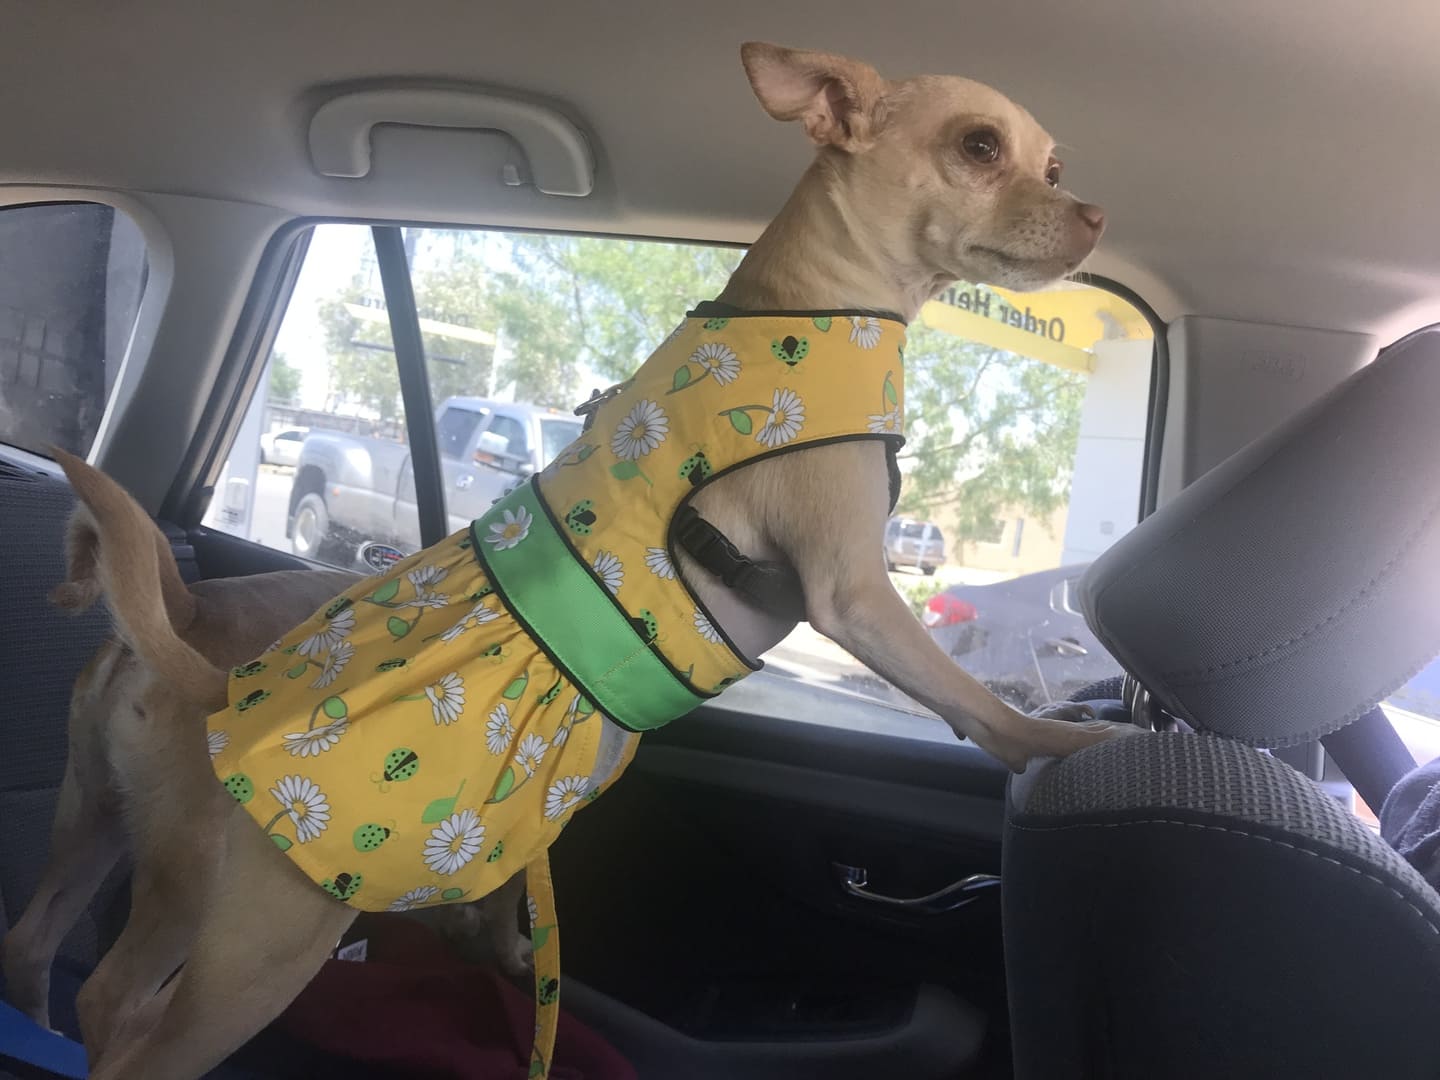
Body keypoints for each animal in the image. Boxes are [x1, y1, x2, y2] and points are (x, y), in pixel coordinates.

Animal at [0, 521, 529, 1054]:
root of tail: (192, 608)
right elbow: (509, 891)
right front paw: (509, 949)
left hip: (90, 814)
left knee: (28, 944)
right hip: (199, 891)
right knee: (112, 1001)